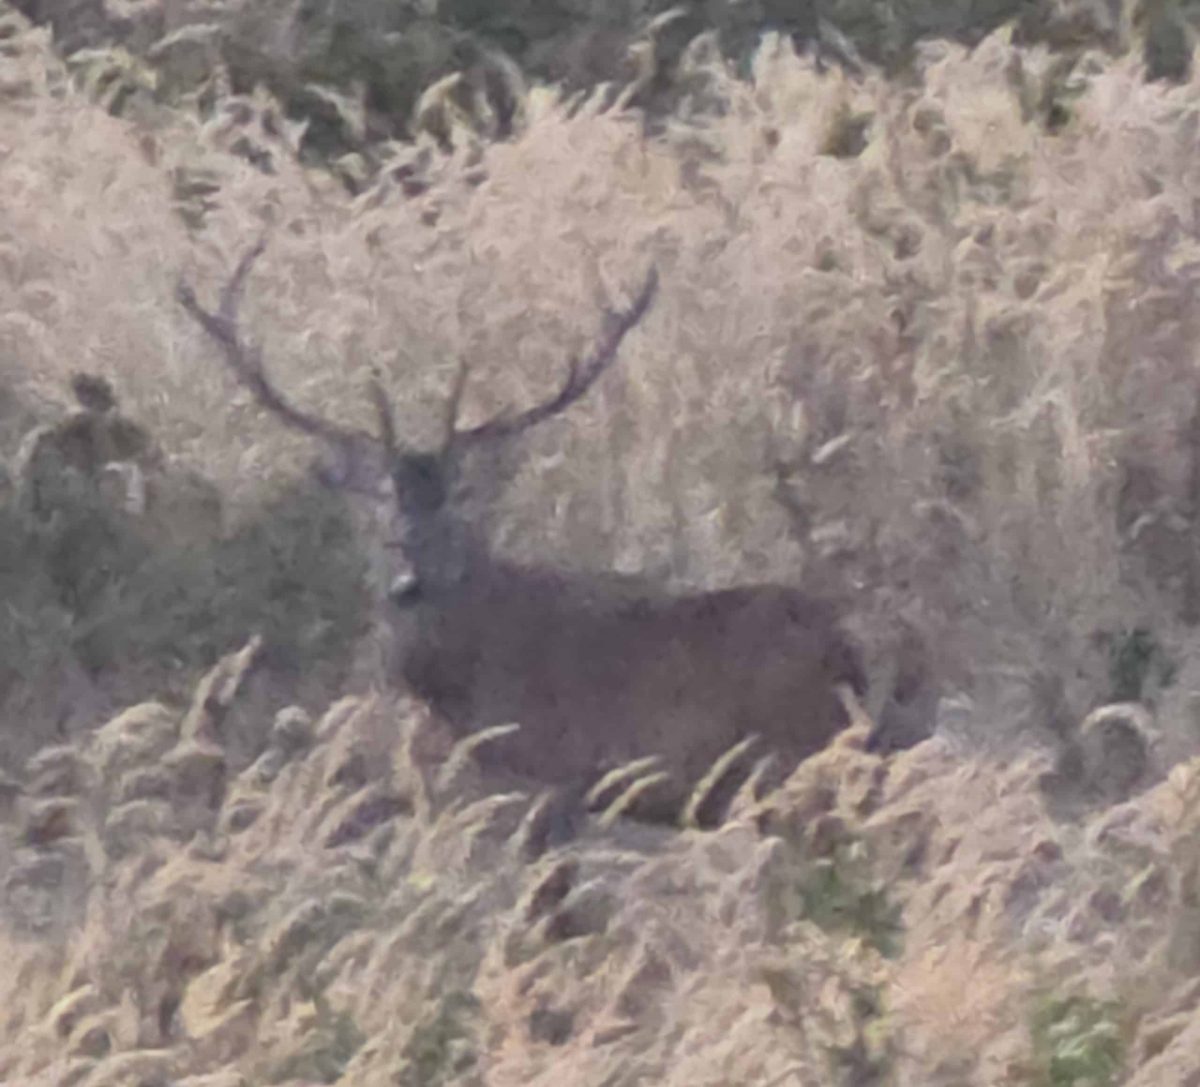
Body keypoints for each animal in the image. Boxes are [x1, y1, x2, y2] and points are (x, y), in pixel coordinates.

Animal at [177, 240, 870, 826]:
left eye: (459, 505)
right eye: (380, 512)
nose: (408, 582)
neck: (465, 687)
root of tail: (851, 654)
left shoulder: (559, 773)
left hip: (786, 755)